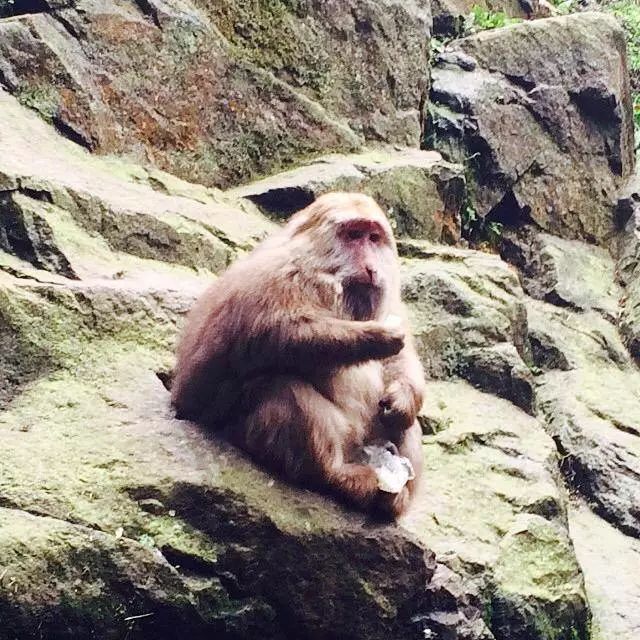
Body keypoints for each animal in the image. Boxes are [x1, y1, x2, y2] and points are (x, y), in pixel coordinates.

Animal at [172, 192, 428, 516]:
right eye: (354, 235)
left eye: (373, 237)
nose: (371, 267)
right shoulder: (277, 273)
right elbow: (273, 335)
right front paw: (374, 337)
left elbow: (398, 363)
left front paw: (403, 399)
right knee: (279, 384)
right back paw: (339, 476)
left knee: (404, 424)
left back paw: (394, 496)